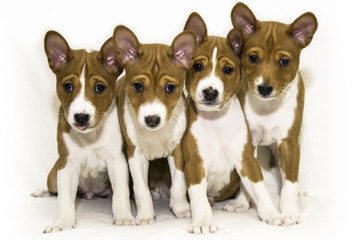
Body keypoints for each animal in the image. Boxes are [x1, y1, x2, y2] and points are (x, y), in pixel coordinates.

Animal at [31, 31, 134, 233]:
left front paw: (124, 217)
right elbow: (64, 199)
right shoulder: (67, 165)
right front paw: (62, 222)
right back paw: (42, 191)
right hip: (54, 175)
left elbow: (121, 194)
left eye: (99, 87)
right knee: (54, 188)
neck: (90, 137)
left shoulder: (117, 161)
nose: (81, 117)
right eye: (68, 86)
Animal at [112, 25, 197, 224]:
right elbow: (141, 189)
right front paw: (144, 215)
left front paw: (181, 208)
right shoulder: (135, 155)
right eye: (138, 86)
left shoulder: (178, 150)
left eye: (170, 88)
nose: (152, 119)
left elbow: (179, 184)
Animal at [183, 12, 282, 233]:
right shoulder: (195, 164)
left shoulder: (246, 160)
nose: (210, 92)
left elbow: (259, 189)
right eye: (197, 66)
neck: (216, 121)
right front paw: (203, 222)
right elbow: (198, 197)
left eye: (228, 69)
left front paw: (272, 214)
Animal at [231, 2, 318, 226]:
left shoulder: (289, 143)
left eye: (284, 61)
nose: (264, 88)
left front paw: (289, 212)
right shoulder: (249, 143)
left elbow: (290, 182)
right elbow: (250, 181)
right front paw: (242, 203)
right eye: (253, 58)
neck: (267, 108)